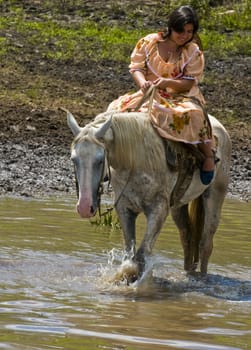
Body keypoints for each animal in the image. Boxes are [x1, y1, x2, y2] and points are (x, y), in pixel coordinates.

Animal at [66, 110, 231, 282]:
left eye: (99, 160)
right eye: (73, 159)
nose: (84, 207)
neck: (135, 159)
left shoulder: (158, 210)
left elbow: (141, 255)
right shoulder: (124, 209)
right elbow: (129, 252)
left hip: (214, 196)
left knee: (205, 244)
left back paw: (202, 279)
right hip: (178, 205)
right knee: (187, 239)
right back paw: (187, 274)